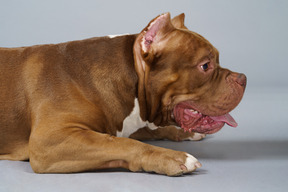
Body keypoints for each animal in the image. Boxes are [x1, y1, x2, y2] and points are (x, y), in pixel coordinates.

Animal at [0, 13, 245, 176]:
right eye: (205, 66)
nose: (243, 78)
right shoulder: (51, 140)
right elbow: (123, 144)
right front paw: (172, 157)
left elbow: (144, 132)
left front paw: (183, 133)